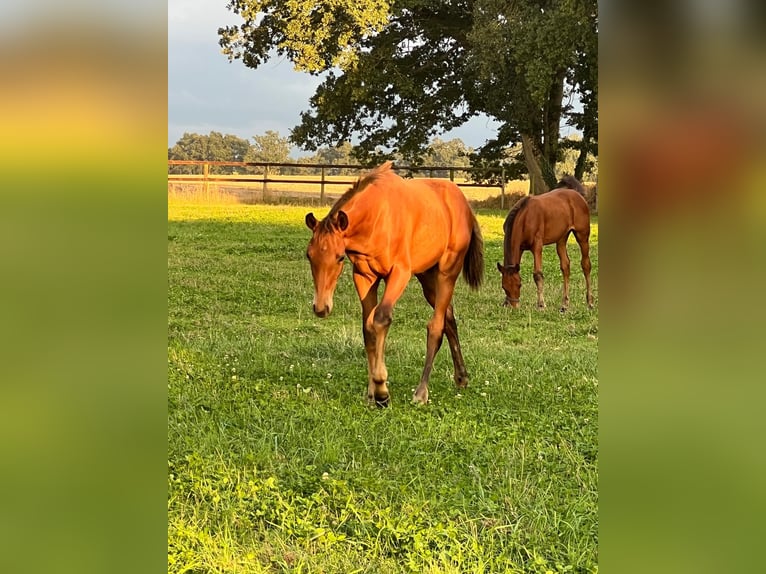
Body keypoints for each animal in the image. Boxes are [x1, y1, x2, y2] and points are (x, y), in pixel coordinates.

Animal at [304, 160, 480, 408]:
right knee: (449, 318)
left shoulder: (399, 273)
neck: (376, 217)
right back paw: (461, 377)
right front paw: (371, 393)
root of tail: (463, 203)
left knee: (436, 326)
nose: (321, 307)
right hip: (428, 278)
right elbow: (367, 328)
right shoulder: (364, 276)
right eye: (309, 255)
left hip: (447, 273)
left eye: (339, 257)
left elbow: (380, 319)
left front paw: (382, 391)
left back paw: (421, 393)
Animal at [496, 179, 596, 316]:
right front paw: (505, 303)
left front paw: (541, 305)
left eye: (519, 284)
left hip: (582, 235)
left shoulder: (537, 246)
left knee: (586, 264)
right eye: (504, 286)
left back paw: (590, 303)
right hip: (561, 238)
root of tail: (577, 195)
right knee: (565, 266)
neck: (524, 217)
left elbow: (537, 274)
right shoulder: (520, 248)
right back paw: (564, 305)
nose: (515, 306)